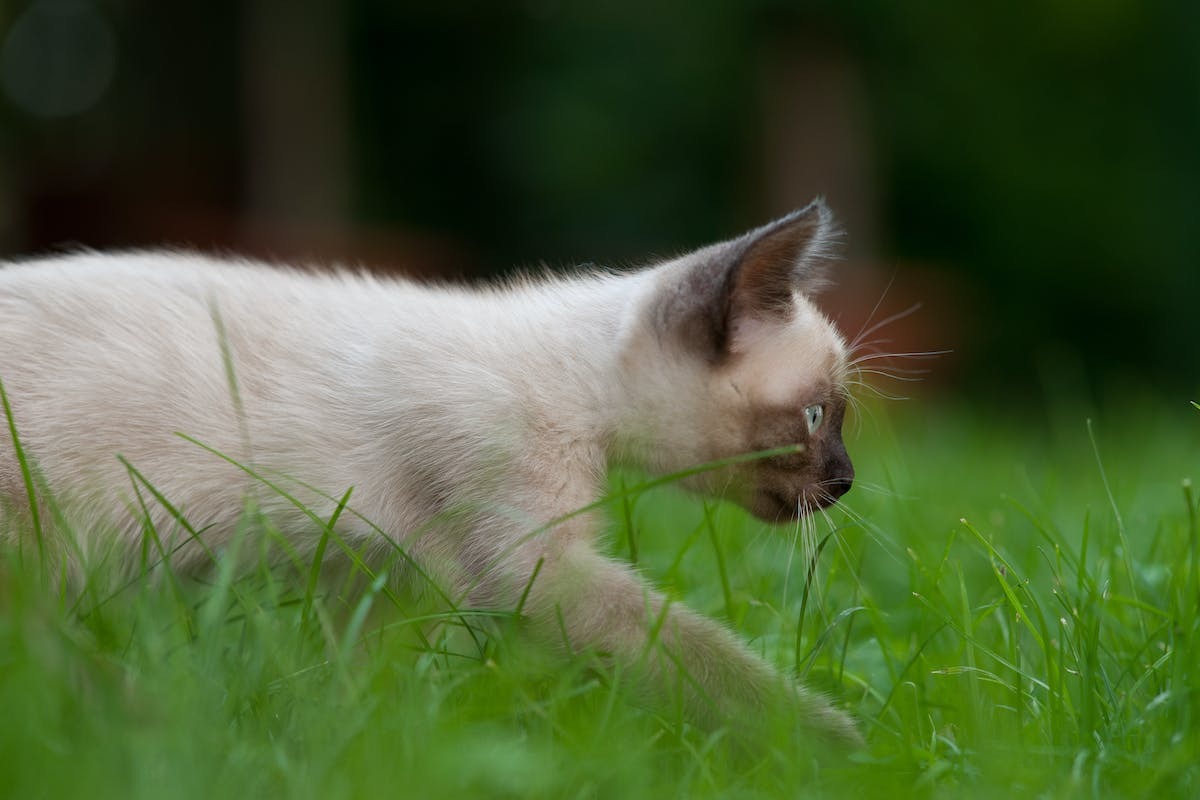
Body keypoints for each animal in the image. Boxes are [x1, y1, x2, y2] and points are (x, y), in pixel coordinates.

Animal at [0, 199, 864, 743]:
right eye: (817, 417)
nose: (848, 480)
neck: (571, 386)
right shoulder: (534, 571)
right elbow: (709, 658)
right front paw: (836, 746)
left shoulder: (371, 575)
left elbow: (355, 690)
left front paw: (345, 740)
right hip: (38, 539)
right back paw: (135, 721)